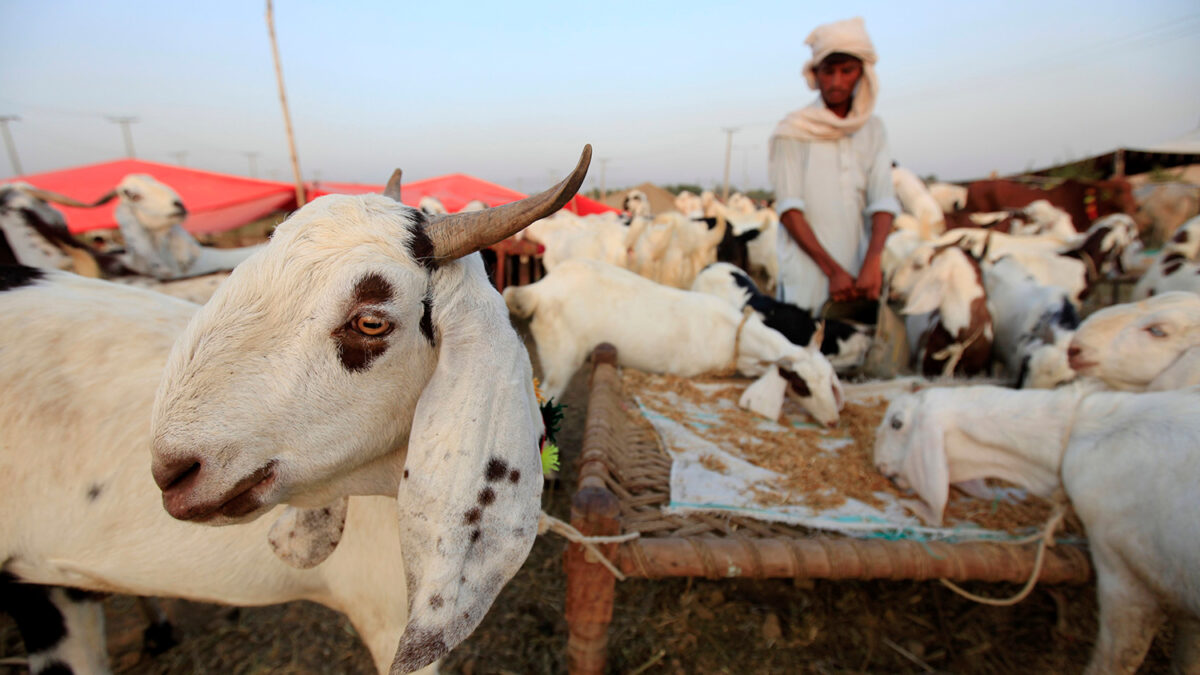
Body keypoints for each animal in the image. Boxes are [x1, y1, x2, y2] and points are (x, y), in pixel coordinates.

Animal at [499, 258, 844, 425]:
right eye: (801, 384)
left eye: (829, 380)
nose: (832, 422)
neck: (736, 336)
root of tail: (540, 289)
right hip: (561, 355)